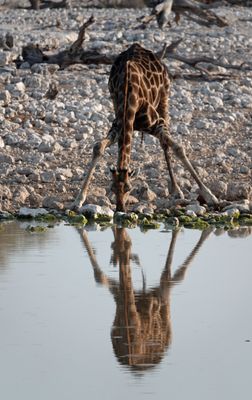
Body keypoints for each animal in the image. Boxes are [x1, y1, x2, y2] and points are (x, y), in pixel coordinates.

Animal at [71, 43, 219, 212]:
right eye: (112, 188)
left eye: (129, 188)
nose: (120, 208)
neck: (129, 95)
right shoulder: (117, 126)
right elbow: (98, 147)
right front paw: (78, 200)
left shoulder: (157, 123)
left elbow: (178, 147)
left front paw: (210, 196)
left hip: (164, 99)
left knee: (165, 144)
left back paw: (176, 190)